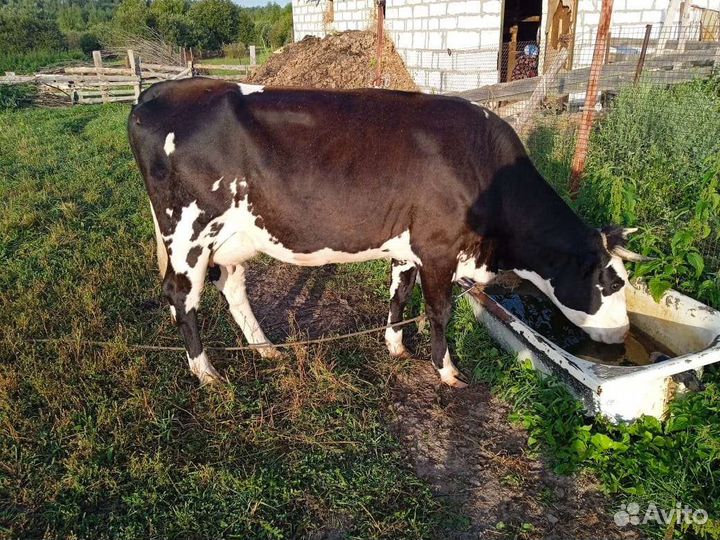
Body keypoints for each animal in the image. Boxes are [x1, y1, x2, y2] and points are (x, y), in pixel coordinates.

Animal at [128, 78, 649, 387]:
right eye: (611, 282)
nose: (623, 333)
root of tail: (158, 91)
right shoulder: (438, 247)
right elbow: (439, 312)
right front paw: (447, 370)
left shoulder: (408, 246)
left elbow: (400, 294)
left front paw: (396, 346)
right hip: (189, 230)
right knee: (182, 295)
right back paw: (206, 372)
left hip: (229, 238)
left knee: (230, 286)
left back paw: (265, 350)